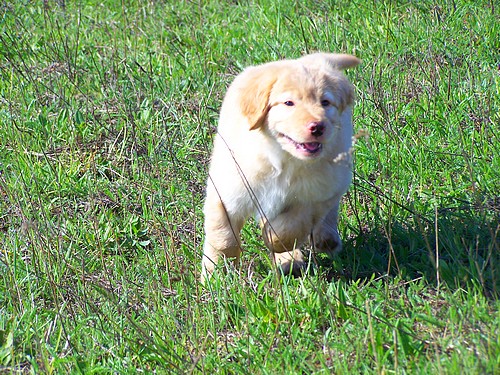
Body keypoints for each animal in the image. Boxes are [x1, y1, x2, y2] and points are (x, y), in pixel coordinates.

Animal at [201, 53, 362, 282]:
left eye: (325, 102)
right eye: (288, 103)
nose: (317, 127)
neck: (282, 159)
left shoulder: (315, 197)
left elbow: (291, 227)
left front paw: (275, 242)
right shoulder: (226, 190)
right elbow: (222, 237)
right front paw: (216, 277)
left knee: (326, 214)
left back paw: (321, 241)